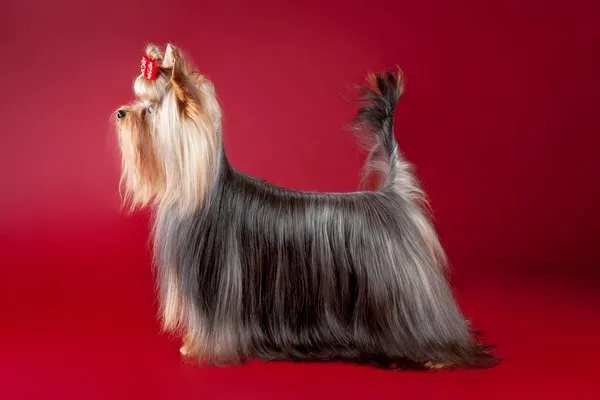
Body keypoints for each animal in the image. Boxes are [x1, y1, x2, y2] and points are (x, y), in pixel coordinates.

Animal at [115, 42, 500, 370]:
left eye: (149, 110)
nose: (120, 113)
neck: (199, 188)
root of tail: (392, 196)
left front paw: (200, 349)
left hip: (404, 289)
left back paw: (439, 355)